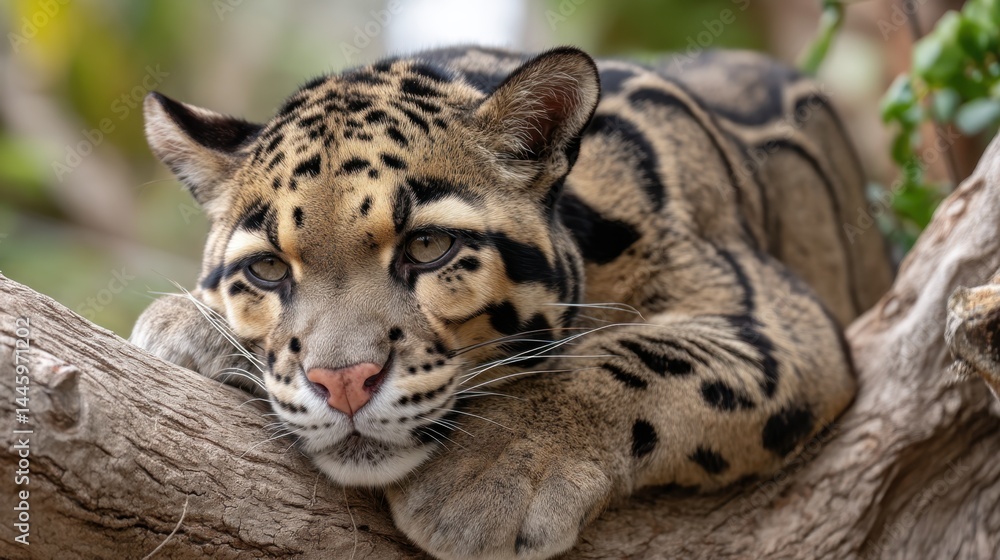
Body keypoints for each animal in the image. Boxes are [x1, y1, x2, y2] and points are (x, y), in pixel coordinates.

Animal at [131, 46, 893, 559]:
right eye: (265, 269)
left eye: (428, 246)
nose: (342, 383)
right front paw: (186, 322)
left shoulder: (781, 320)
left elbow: (648, 352)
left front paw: (494, 468)